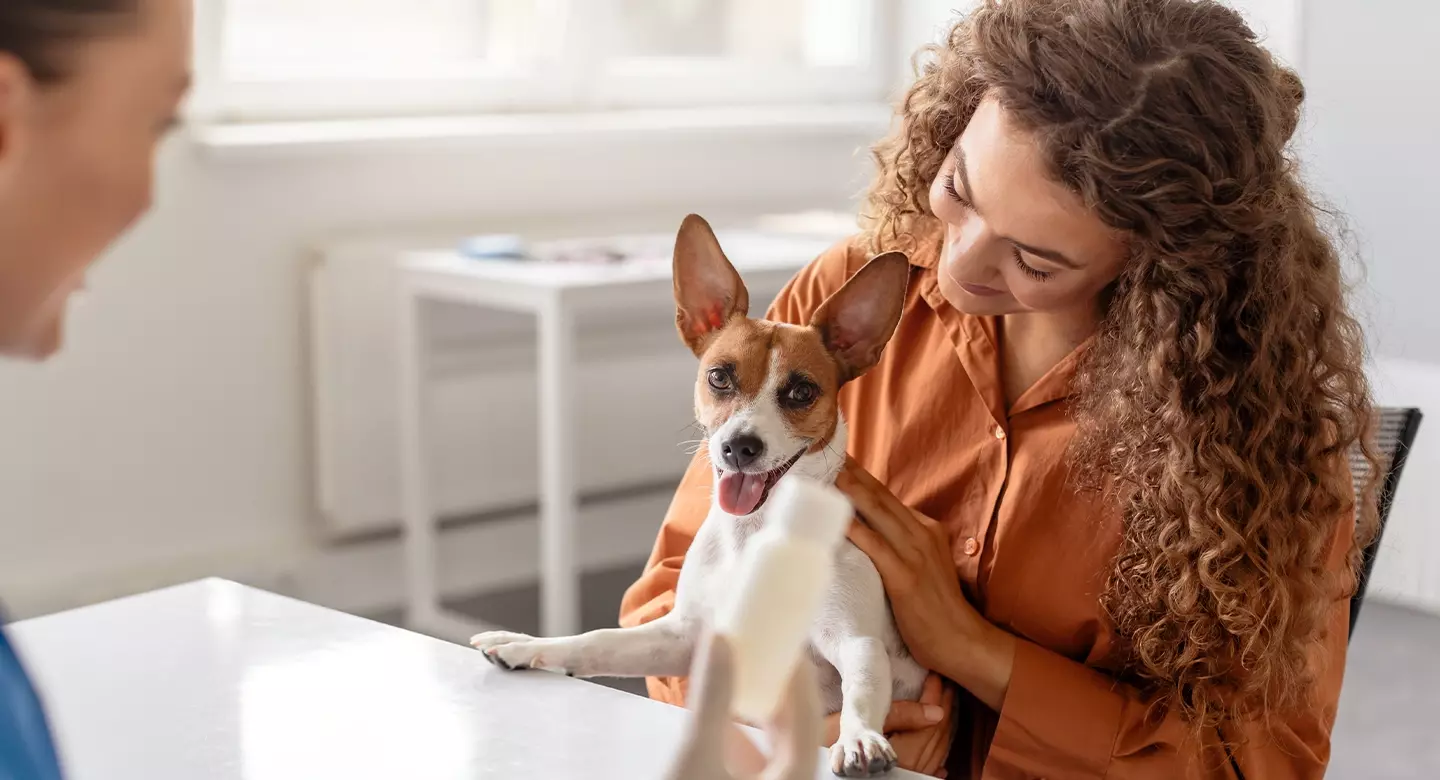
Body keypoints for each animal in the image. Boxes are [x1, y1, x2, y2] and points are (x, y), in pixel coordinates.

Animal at [466, 212, 927, 777]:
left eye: (801, 391)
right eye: (720, 377)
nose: (740, 447)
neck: (753, 538)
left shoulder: (855, 644)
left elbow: (859, 691)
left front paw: (859, 737)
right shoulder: (684, 637)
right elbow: (596, 642)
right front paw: (528, 645)